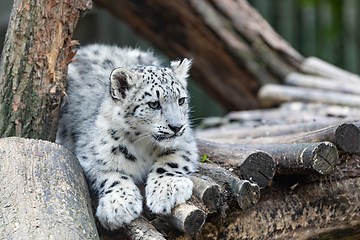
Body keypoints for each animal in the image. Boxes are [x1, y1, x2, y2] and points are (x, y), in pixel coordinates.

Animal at [56, 44, 198, 230]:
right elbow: (110, 174)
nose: (177, 127)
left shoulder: (186, 142)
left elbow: (172, 160)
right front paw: (119, 206)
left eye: (181, 100)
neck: (144, 145)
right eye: (154, 104)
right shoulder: (92, 154)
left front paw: (167, 190)